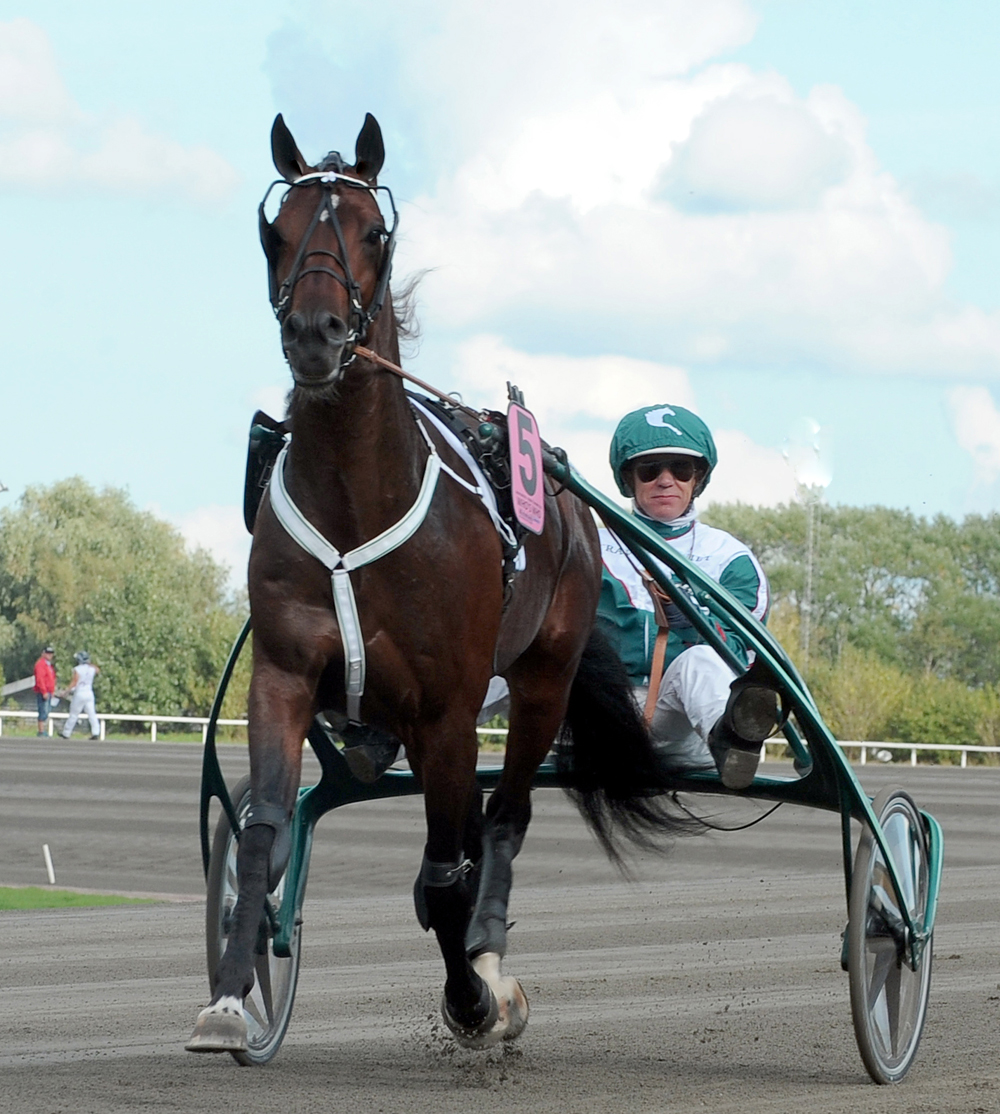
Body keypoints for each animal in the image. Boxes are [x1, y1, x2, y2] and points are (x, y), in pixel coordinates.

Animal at [184, 113, 685, 1051]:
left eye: (373, 232)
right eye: (276, 229)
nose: (316, 333)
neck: (356, 498)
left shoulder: (451, 705)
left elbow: (449, 866)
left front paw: (475, 997)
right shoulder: (284, 674)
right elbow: (263, 827)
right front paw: (231, 998)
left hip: (540, 680)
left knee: (504, 821)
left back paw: (486, 958)